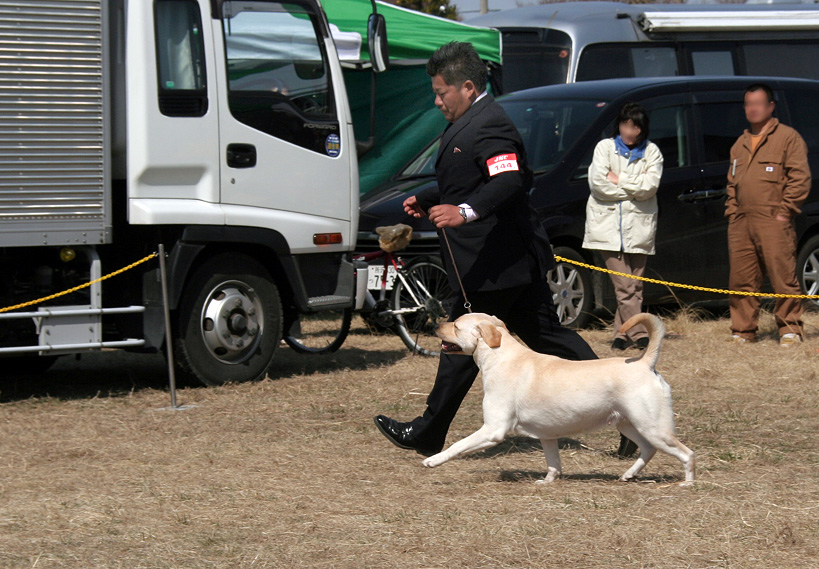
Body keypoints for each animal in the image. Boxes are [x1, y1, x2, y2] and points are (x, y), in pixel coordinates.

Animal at [426, 310, 696, 484]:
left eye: (456, 325)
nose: (434, 325)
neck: (498, 356)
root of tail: (644, 362)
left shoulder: (493, 429)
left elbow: (458, 445)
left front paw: (432, 460)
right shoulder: (546, 435)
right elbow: (553, 462)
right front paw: (548, 481)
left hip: (653, 426)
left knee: (687, 454)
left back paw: (687, 483)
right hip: (629, 424)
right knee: (648, 449)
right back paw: (629, 474)